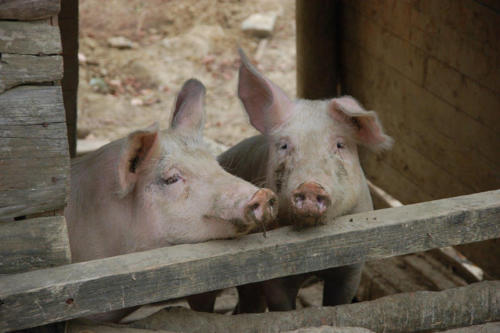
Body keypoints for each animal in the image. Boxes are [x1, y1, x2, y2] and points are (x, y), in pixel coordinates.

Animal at [217, 50, 392, 312]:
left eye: (339, 144)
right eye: (284, 146)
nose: (309, 186)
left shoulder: (352, 265)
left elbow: (339, 301)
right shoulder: (273, 273)